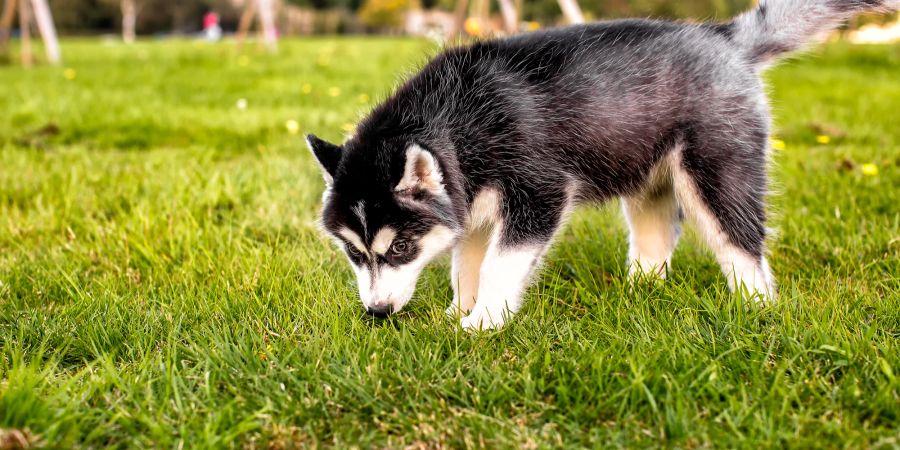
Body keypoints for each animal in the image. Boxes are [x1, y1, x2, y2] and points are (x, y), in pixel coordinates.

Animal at [306, 0, 896, 330]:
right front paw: (459, 310)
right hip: (649, 177)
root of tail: (720, 36)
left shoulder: (539, 193)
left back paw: (756, 309)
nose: (377, 313)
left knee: (740, 245)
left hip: (717, 170)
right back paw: (639, 292)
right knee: (656, 237)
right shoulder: (468, 205)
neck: (457, 120)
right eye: (354, 253)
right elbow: (465, 263)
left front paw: (482, 324)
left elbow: (499, 265)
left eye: (398, 248)